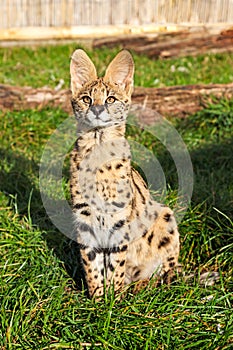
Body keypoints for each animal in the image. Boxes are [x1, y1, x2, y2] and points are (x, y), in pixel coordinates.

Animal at [69, 47, 180, 296]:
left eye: (110, 99)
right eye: (86, 99)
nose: (97, 110)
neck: (98, 144)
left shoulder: (119, 220)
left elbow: (115, 264)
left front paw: (114, 299)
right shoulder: (84, 219)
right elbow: (92, 266)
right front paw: (97, 300)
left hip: (165, 214)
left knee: (168, 274)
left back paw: (144, 286)